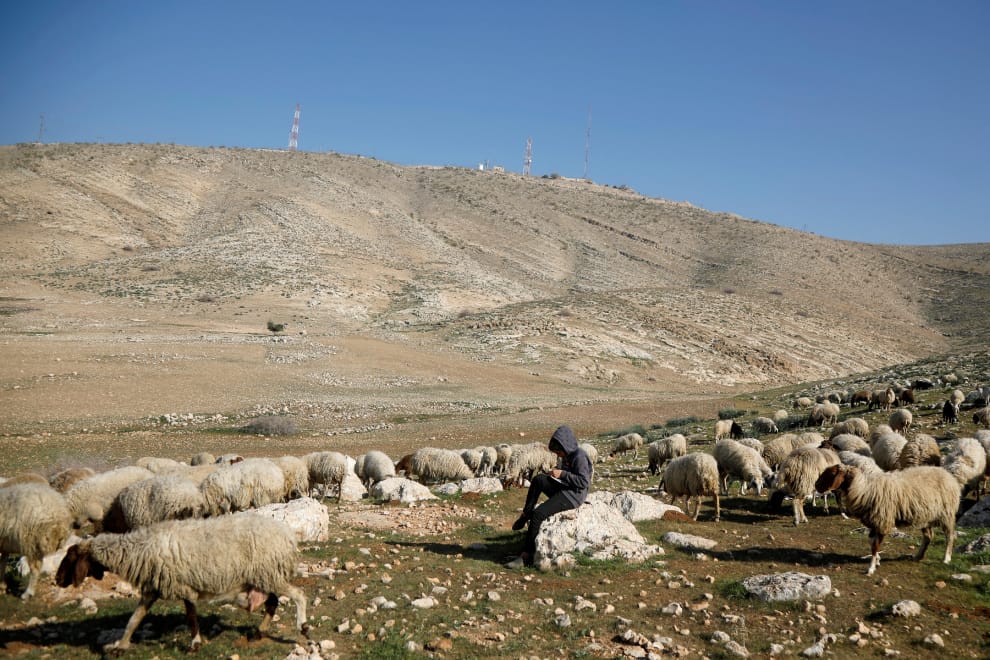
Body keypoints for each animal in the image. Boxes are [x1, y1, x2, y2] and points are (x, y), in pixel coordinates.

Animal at [55, 513, 308, 652]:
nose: (57, 579)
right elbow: (134, 619)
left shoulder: (181, 586)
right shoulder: (154, 588)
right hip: (264, 577)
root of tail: (287, 534)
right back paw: (259, 631)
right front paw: (120, 646)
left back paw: (303, 626)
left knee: (298, 595)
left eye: (70, 557)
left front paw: (194, 643)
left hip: (269, 573)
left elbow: (191, 617)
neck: (138, 551)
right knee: (272, 603)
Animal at [815, 464, 960, 575]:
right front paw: (877, 560)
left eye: (831, 473)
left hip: (946, 513)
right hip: (925, 516)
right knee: (929, 536)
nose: (816, 485)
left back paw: (946, 558)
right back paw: (918, 556)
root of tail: (948, 475)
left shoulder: (882, 521)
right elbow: (871, 541)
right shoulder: (874, 522)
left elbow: (875, 546)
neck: (863, 489)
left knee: (950, 535)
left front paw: (871, 568)